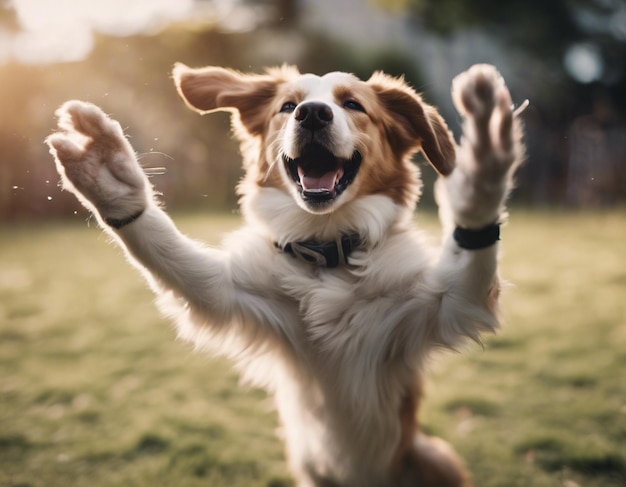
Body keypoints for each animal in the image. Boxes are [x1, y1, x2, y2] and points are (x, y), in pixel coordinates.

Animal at [48, 63, 524, 486]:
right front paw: (112, 177)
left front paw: (483, 169)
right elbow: (172, 255)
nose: (312, 113)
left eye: (353, 104)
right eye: (287, 106)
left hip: (432, 455)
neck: (327, 258)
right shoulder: (232, 296)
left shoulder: (441, 307)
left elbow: (467, 263)